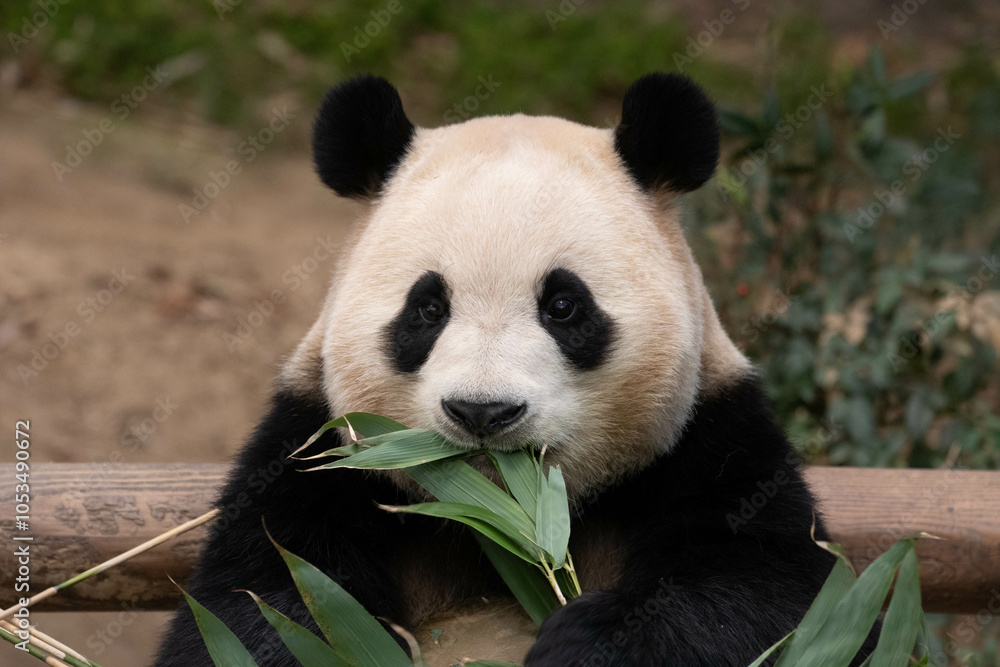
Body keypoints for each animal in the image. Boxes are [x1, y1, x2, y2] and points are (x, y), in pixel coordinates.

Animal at [155, 73, 874, 666]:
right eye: (427, 308)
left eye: (563, 305)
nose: (483, 411)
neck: (505, 519)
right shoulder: (318, 456)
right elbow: (260, 603)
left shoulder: (711, 440)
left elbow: (775, 597)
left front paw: (586, 644)